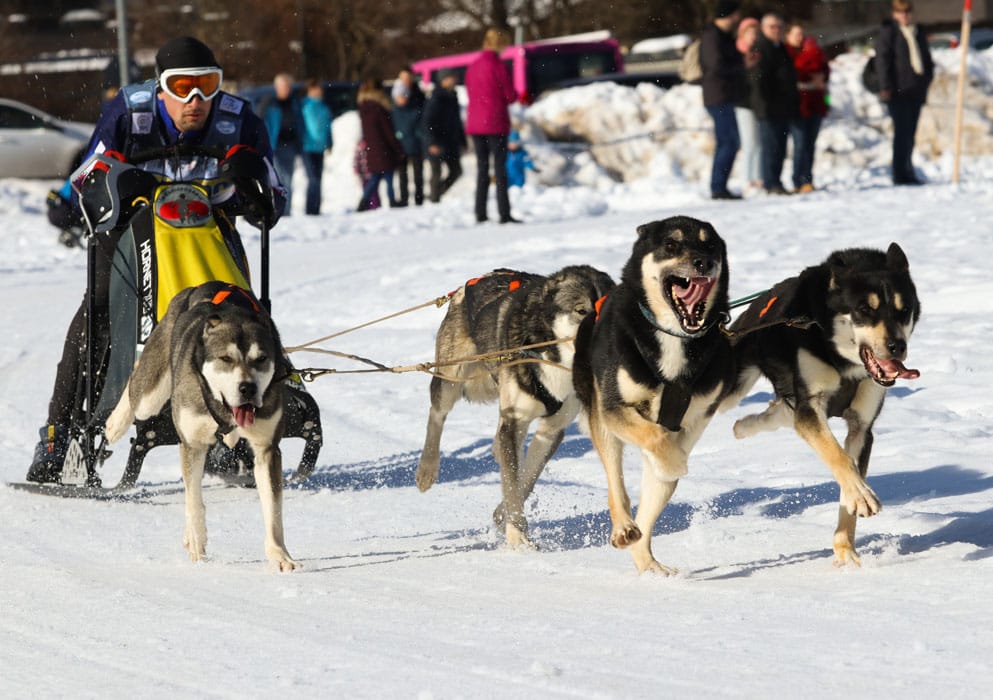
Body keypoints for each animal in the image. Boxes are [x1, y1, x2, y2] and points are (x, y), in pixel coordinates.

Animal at [106, 282, 298, 572]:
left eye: (261, 358)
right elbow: (193, 500)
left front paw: (279, 554)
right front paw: (198, 541)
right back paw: (114, 423)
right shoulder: (193, 444)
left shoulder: (266, 449)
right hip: (150, 395)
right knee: (136, 383)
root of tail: (206, 285)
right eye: (226, 358)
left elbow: (273, 508)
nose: (248, 388)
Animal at [414, 266, 616, 544]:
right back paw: (427, 468)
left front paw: (504, 516)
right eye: (581, 310)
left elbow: (525, 480)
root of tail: (473, 282)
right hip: (451, 379)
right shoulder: (516, 418)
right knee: (437, 414)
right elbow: (512, 483)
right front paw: (517, 536)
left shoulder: (551, 429)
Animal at [568, 217, 732, 576]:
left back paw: (650, 565)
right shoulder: (615, 408)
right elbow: (657, 440)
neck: (672, 335)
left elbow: (665, 447)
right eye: (671, 245)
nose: (703, 262)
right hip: (602, 421)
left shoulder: (693, 418)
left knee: (648, 510)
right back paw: (624, 528)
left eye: (710, 244)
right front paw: (675, 461)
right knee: (617, 487)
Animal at [720, 243, 924, 568]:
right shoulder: (810, 407)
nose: (897, 347)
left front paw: (845, 549)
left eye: (903, 310)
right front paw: (862, 496)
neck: (844, 363)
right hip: (729, 386)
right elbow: (838, 457)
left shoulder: (861, 427)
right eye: (864, 310)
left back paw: (745, 426)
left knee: (778, 412)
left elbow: (848, 481)